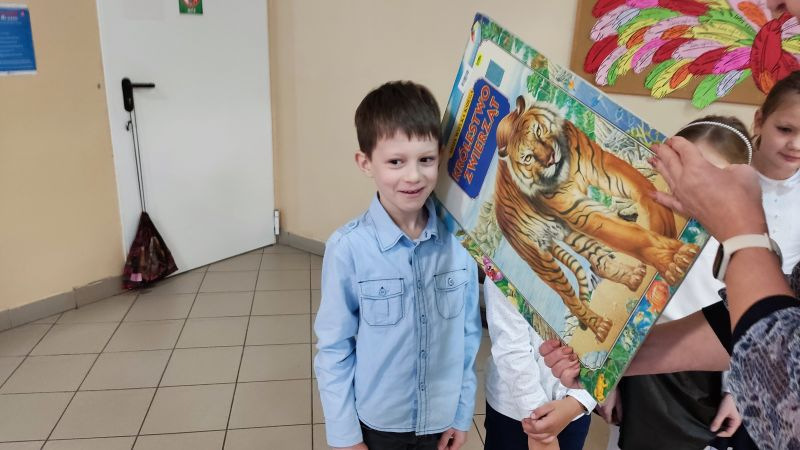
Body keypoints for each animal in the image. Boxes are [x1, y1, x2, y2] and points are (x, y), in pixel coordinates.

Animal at [493, 96, 698, 343]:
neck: (565, 170)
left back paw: (633, 277)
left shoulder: (601, 167)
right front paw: (672, 259)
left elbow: (644, 190)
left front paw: (666, 229)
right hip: (540, 258)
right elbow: (632, 236)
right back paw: (600, 327)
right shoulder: (577, 210)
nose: (550, 158)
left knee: (598, 262)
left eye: (538, 131)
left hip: (568, 232)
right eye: (527, 157)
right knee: (570, 299)